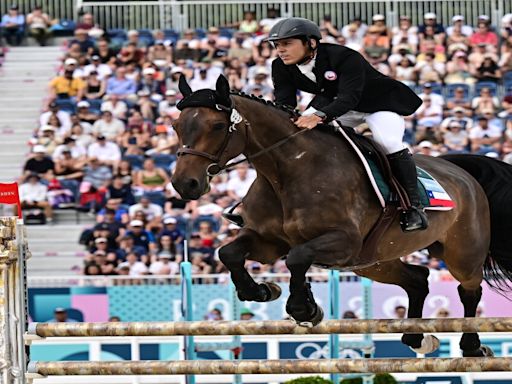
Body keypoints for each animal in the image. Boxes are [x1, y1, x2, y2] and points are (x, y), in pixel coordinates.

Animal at [171, 75, 512, 356]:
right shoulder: (268, 242)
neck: (287, 170)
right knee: (418, 280)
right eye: (176, 127)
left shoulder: (344, 242)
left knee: (469, 289)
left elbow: (297, 257)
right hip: (374, 261)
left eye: (217, 126)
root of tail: (461, 172)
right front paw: (263, 291)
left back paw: (472, 346)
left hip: (460, 253)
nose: (184, 184)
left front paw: (304, 309)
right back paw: (417, 337)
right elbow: (229, 253)